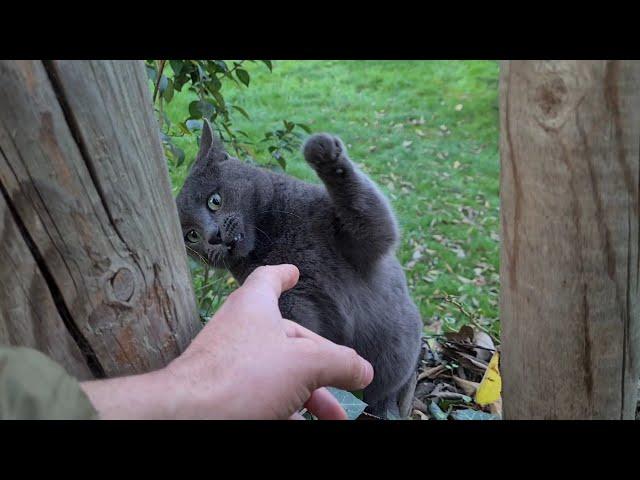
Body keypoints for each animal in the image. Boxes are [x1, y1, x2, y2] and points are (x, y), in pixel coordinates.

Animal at [178, 122, 422, 418]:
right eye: (191, 236)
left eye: (214, 200)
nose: (213, 237)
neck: (270, 236)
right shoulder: (293, 298)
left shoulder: (360, 238)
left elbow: (372, 217)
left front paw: (323, 154)